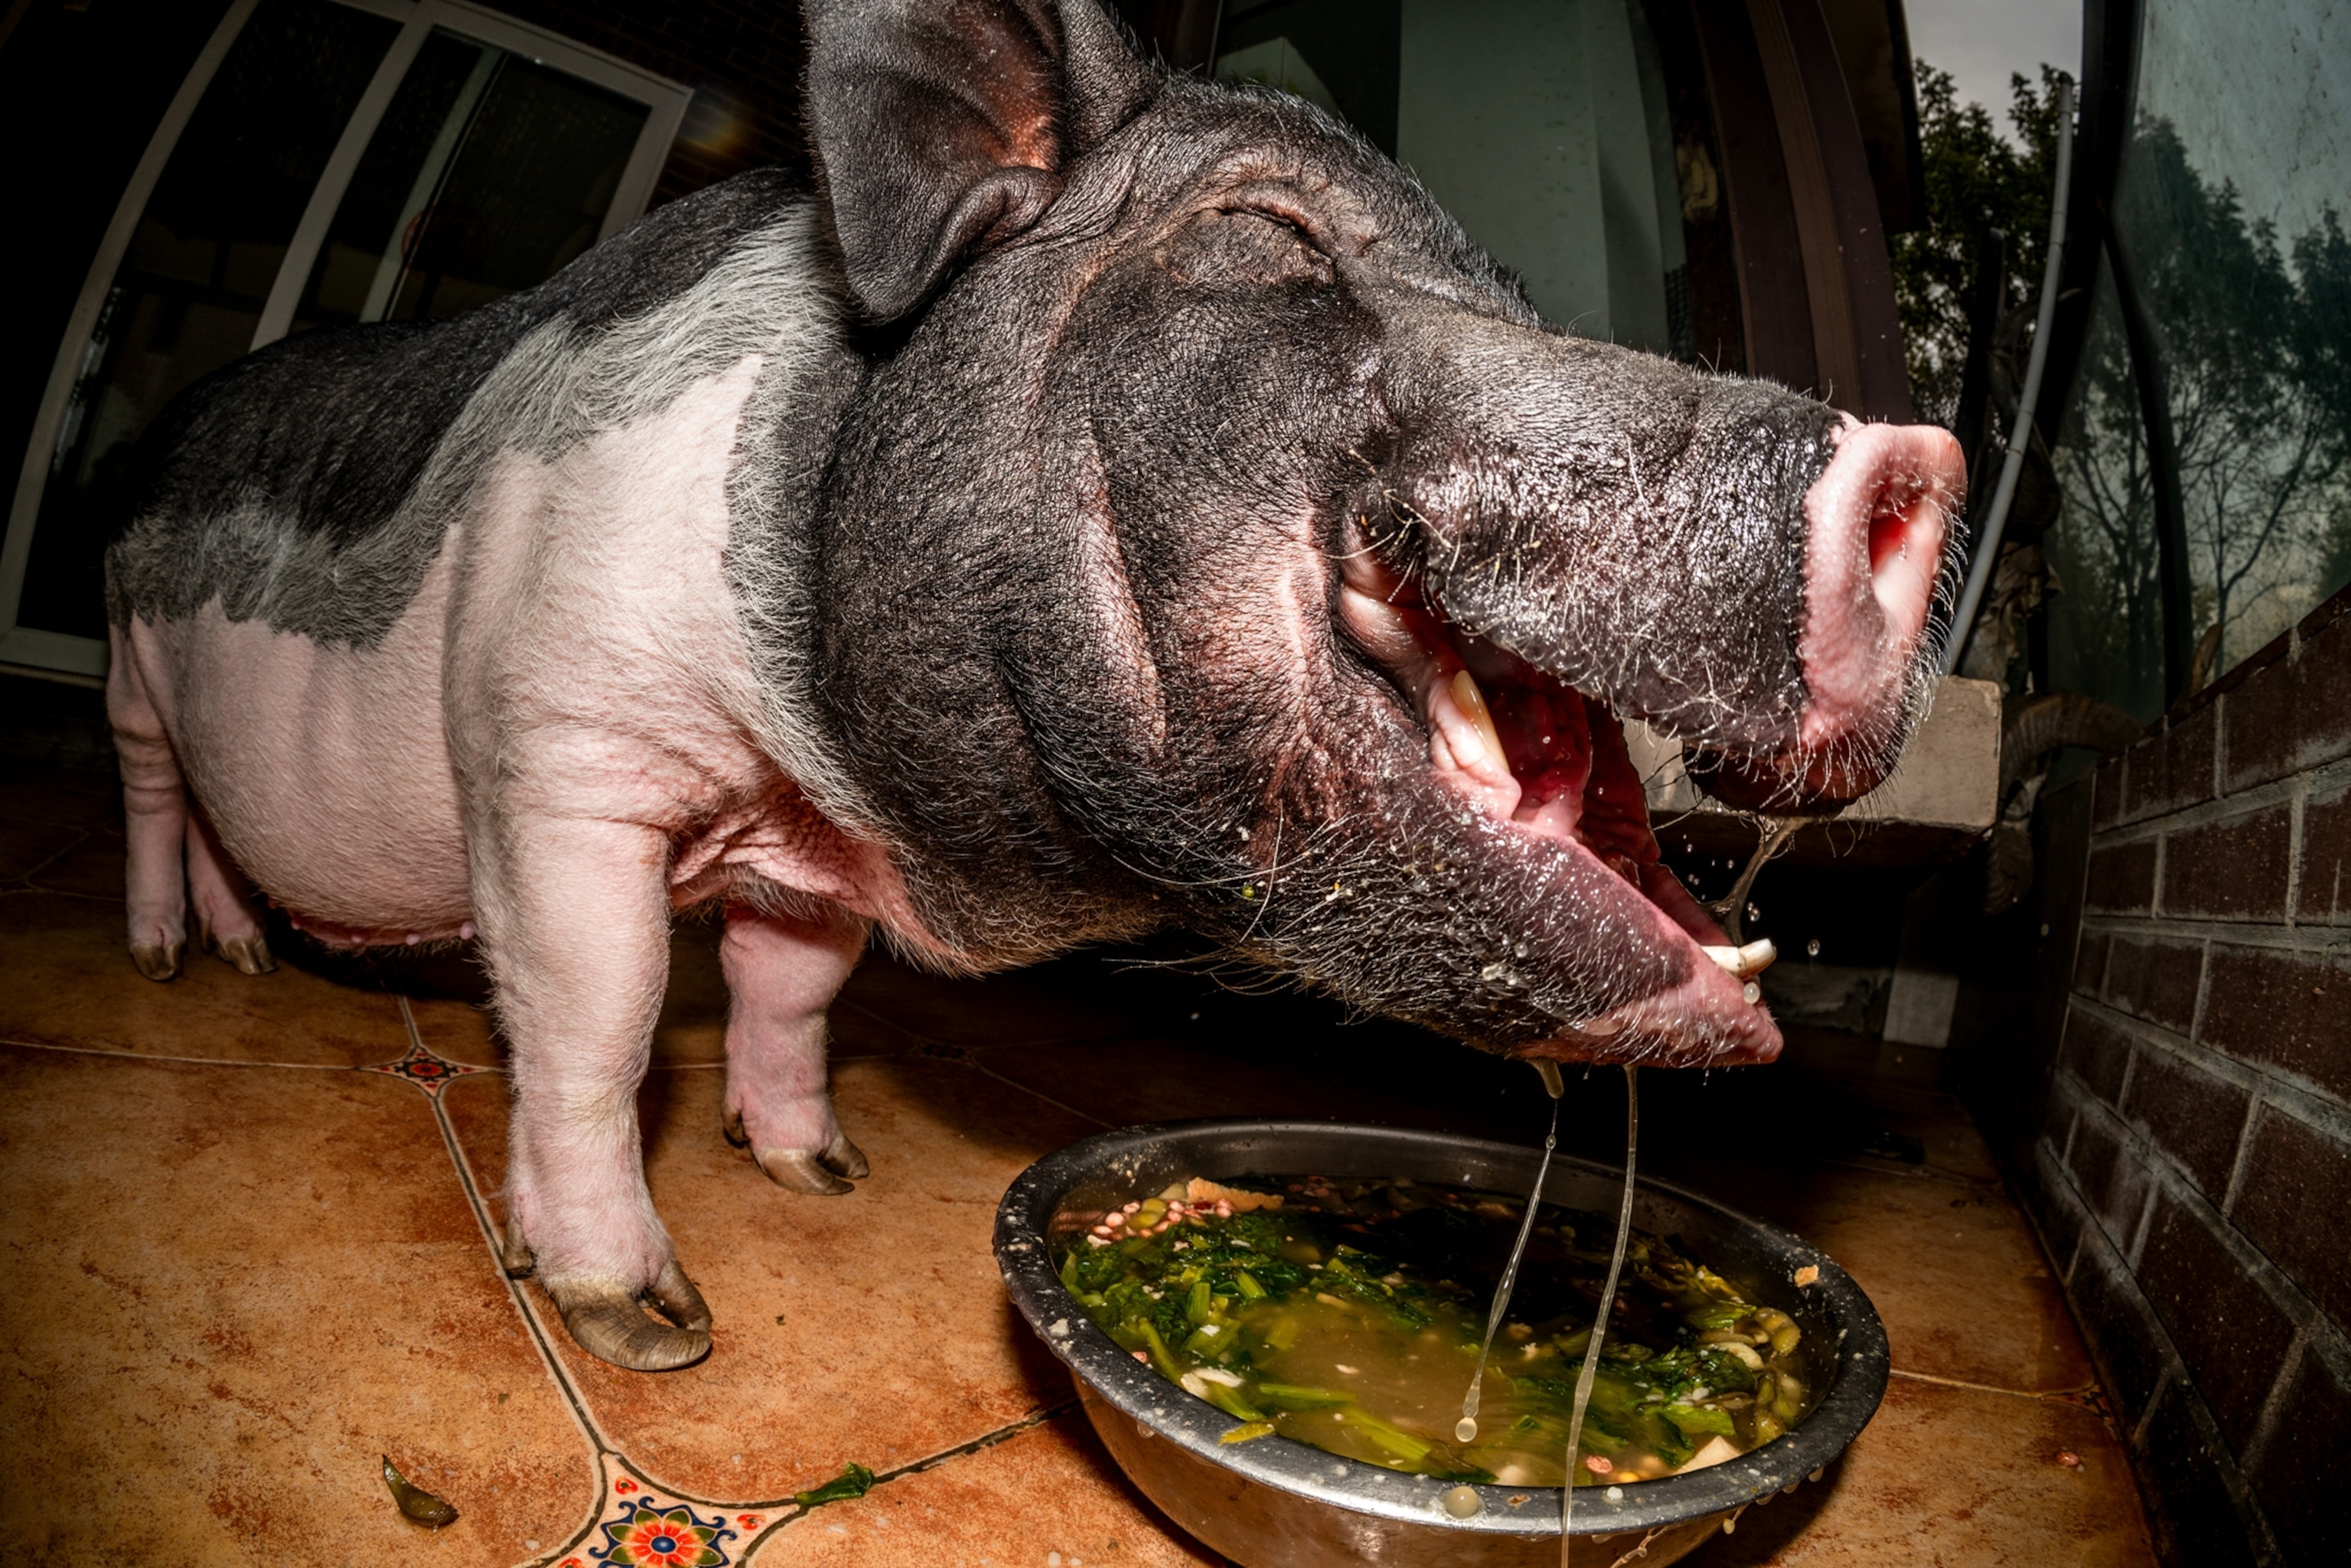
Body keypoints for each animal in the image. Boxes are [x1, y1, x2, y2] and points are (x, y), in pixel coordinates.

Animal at [101, 0, 1962, 1371]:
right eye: (1272, 240)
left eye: (1509, 289)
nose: (1913, 461)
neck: (830, 783)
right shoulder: (556, 746)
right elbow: (601, 1015)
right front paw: (651, 1324)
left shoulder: (808, 853)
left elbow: (792, 987)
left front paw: (821, 1168)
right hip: (126, 648)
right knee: (150, 791)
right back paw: (173, 963)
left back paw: (245, 951)